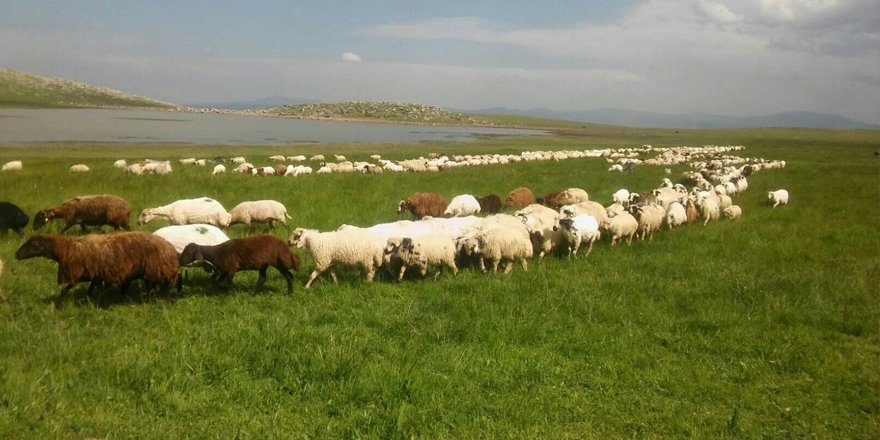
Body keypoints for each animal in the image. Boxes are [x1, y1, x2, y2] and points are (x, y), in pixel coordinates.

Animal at [15, 232, 180, 308]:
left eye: (33, 245)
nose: (16, 254)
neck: (66, 250)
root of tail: (168, 247)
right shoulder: (95, 273)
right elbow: (92, 289)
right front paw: (89, 301)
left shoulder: (81, 273)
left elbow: (66, 289)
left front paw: (58, 305)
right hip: (148, 270)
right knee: (151, 285)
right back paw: (148, 299)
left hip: (156, 268)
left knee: (163, 286)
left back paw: (162, 300)